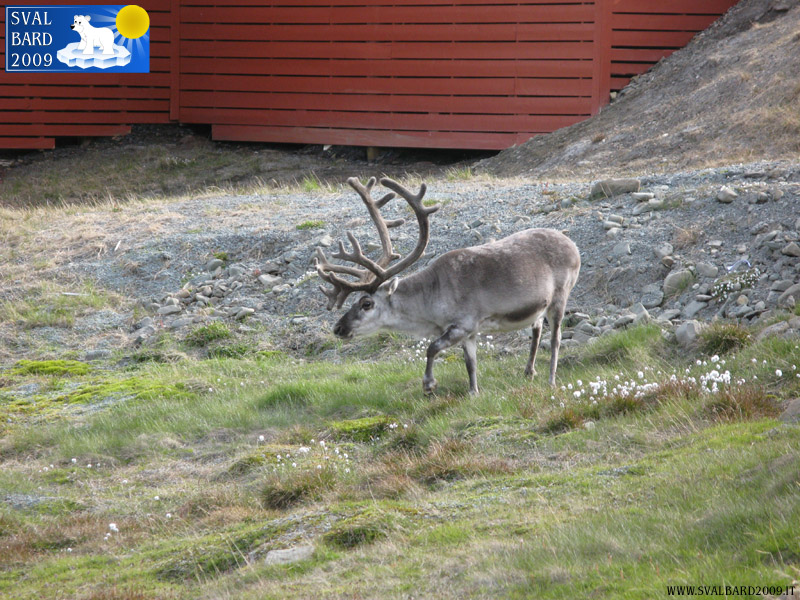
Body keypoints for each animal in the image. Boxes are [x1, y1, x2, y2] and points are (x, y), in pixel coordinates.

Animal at [315, 176, 580, 396]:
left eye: (366, 303)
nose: (338, 328)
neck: (430, 307)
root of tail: (573, 246)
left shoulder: (463, 324)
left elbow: (431, 348)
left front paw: (429, 384)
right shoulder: (469, 332)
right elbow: (470, 363)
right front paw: (473, 392)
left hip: (561, 295)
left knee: (555, 337)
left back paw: (551, 380)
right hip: (539, 305)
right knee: (536, 327)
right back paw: (529, 371)